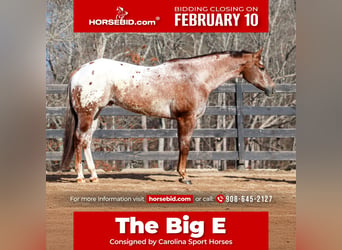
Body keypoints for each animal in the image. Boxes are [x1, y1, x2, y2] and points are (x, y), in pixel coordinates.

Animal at [61, 48, 276, 184]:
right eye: (262, 67)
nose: (272, 89)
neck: (195, 76)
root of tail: (80, 71)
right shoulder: (186, 119)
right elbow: (185, 146)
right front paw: (184, 176)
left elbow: (182, 147)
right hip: (87, 113)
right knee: (79, 139)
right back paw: (80, 177)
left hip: (95, 113)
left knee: (87, 141)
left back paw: (94, 176)